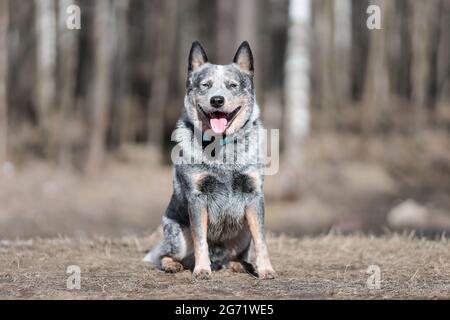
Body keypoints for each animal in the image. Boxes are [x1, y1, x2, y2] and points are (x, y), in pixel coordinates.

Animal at [142, 40, 276, 280]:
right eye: (205, 85)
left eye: (232, 85)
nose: (217, 100)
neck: (221, 149)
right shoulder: (197, 197)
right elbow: (200, 239)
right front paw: (202, 270)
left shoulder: (254, 195)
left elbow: (261, 239)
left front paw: (265, 269)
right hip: (178, 235)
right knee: (165, 254)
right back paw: (173, 264)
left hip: (242, 233)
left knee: (233, 257)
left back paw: (242, 265)